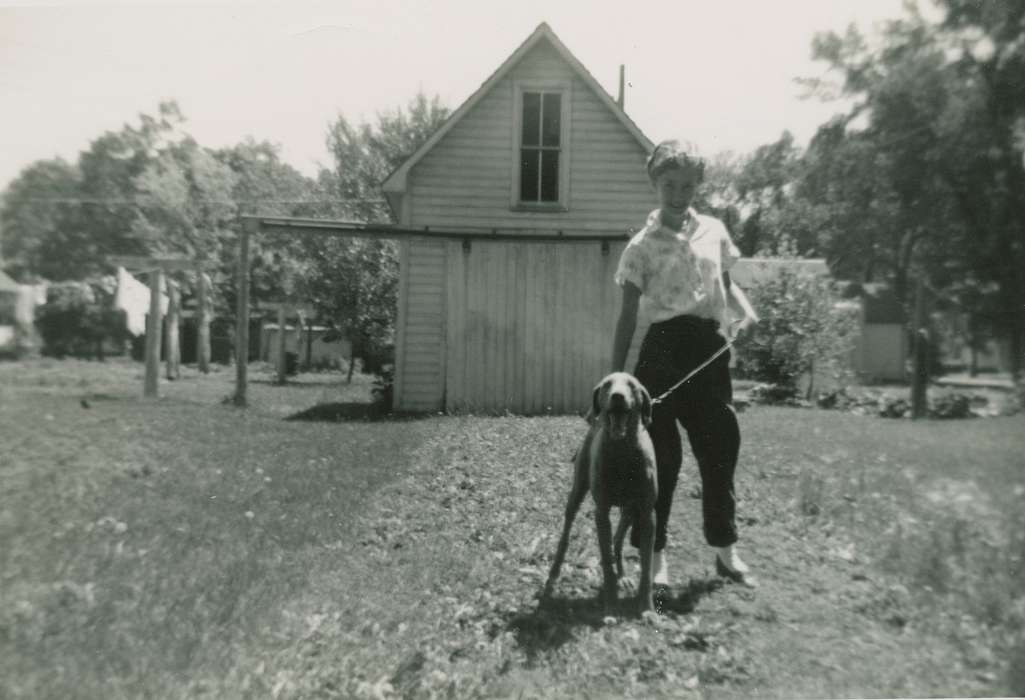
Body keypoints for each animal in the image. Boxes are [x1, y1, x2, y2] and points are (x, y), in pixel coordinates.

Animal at [545, 373, 656, 614]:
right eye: (607, 385)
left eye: (632, 386)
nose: (617, 396)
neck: (623, 451)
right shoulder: (602, 512)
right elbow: (605, 560)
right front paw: (611, 605)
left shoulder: (647, 513)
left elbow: (646, 563)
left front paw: (647, 607)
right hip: (577, 492)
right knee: (567, 532)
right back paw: (555, 571)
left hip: (630, 510)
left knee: (618, 539)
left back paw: (622, 575)